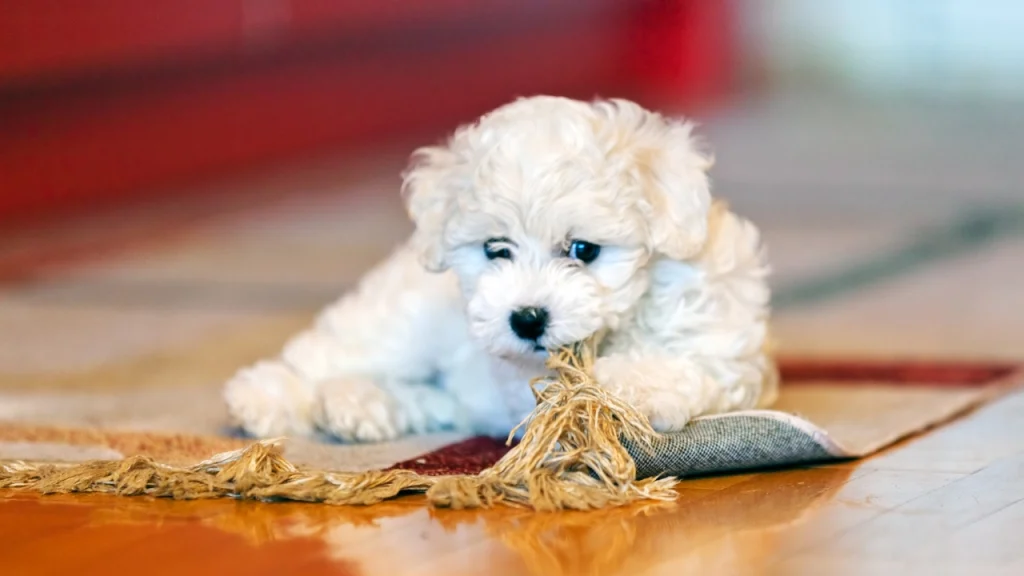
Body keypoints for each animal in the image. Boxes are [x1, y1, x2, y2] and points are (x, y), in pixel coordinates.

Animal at [226, 96, 774, 440]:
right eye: (496, 249)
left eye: (583, 249)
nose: (527, 319)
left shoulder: (723, 349)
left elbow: (680, 364)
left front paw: (628, 385)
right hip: (399, 326)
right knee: (326, 355)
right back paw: (265, 398)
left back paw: (354, 406)